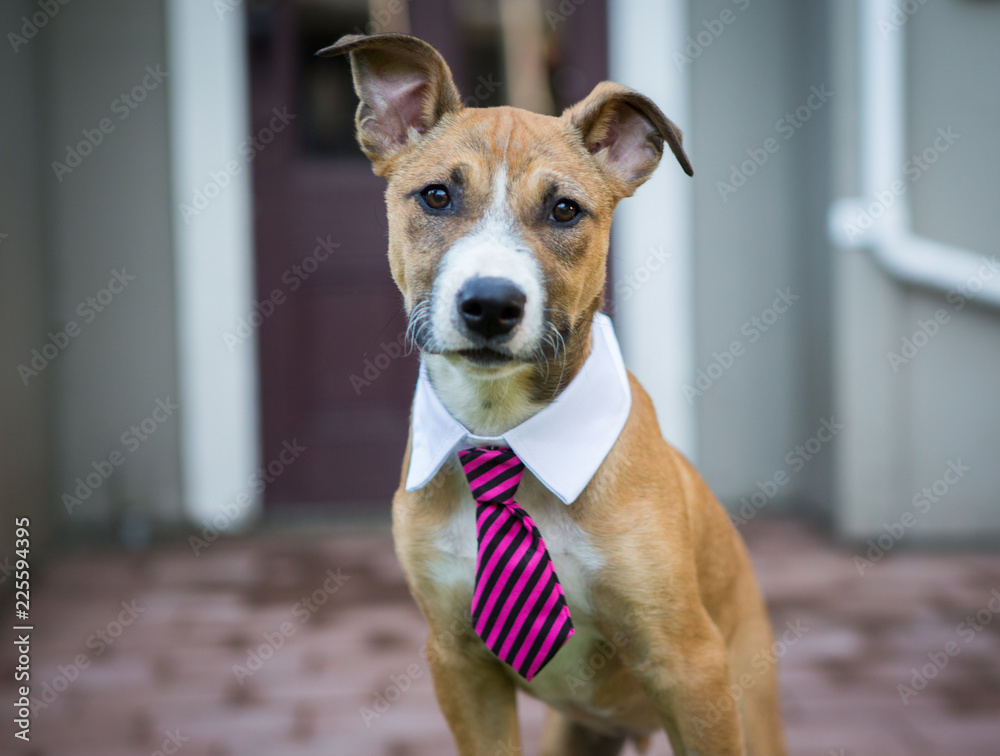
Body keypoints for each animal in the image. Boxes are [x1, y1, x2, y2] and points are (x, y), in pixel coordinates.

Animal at [324, 32, 784, 752]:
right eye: (436, 196)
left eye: (564, 209)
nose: (490, 304)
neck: (501, 427)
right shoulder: (456, 659)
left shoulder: (688, 662)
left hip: (746, 703)